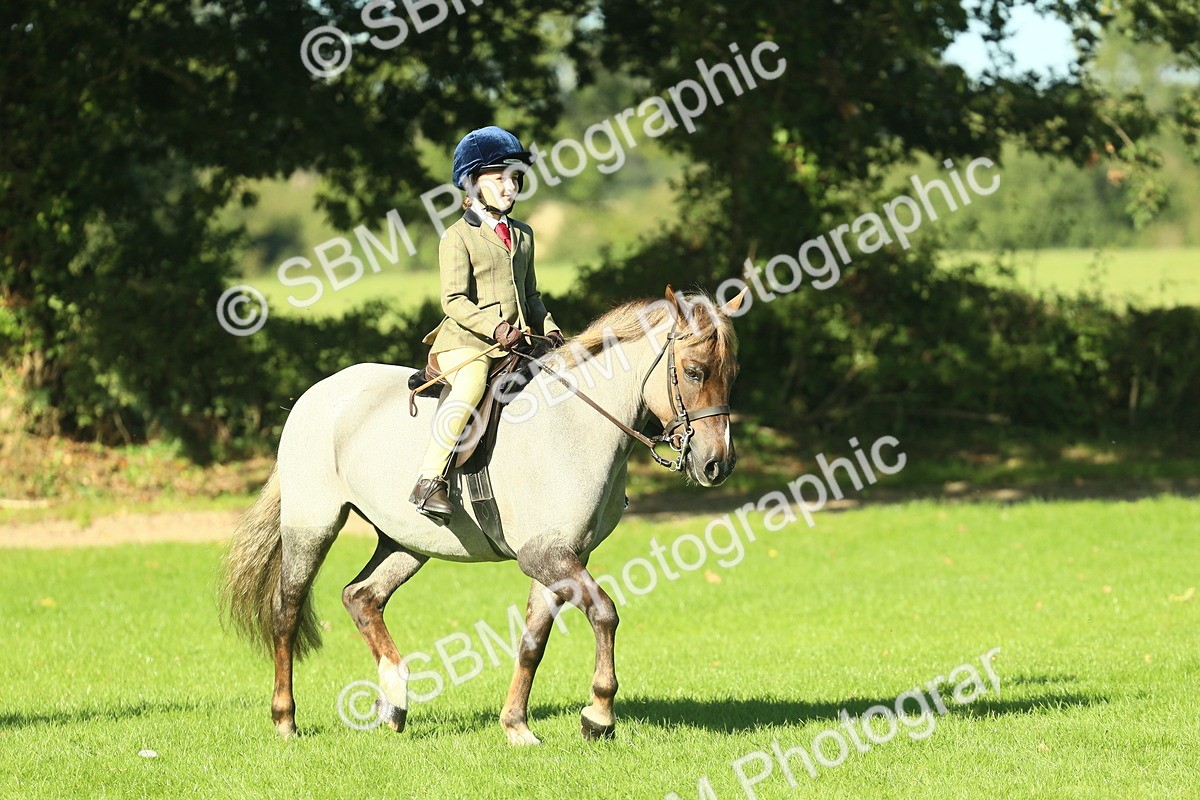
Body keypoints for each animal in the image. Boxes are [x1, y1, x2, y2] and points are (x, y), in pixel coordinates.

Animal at [220, 286, 747, 744]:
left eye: (732, 372)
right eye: (694, 371)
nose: (716, 464)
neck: (576, 424)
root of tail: (316, 394)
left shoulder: (559, 557)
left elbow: (533, 641)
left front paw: (516, 725)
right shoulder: (546, 555)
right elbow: (605, 613)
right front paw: (598, 714)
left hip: (407, 541)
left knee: (362, 597)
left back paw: (394, 703)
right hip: (314, 525)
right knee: (288, 610)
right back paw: (285, 719)